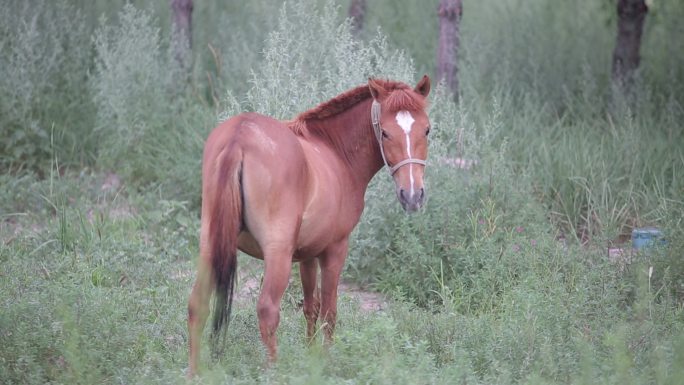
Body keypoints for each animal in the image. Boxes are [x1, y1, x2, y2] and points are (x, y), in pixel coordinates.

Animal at [187, 75, 432, 376]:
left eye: (427, 130)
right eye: (385, 133)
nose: (412, 195)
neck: (333, 150)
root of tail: (239, 136)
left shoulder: (307, 255)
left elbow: (310, 307)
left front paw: (311, 355)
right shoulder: (334, 250)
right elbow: (329, 310)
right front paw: (325, 360)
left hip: (211, 246)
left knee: (197, 306)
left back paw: (194, 373)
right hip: (277, 256)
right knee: (267, 310)